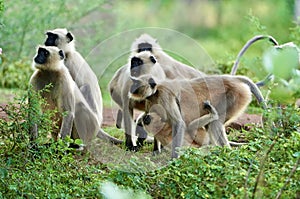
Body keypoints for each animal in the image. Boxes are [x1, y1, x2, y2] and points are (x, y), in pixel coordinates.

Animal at [129, 73, 264, 159]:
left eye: (136, 85)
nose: (131, 88)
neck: (155, 92)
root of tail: (232, 79)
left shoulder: (164, 95)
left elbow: (178, 123)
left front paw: (173, 159)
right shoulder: (150, 100)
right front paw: (155, 151)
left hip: (235, 96)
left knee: (215, 123)